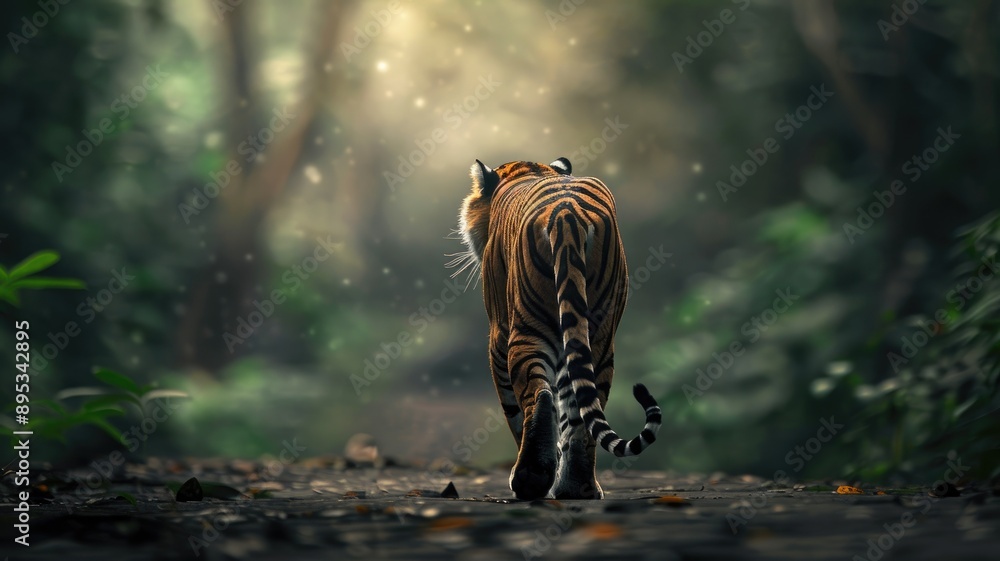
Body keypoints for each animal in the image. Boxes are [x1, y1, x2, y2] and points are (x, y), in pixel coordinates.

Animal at [450, 156, 661, 500]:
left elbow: (514, 409)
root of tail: (567, 214)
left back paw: (530, 478)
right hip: (598, 337)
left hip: (526, 329)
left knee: (539, 396)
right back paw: (579, 488)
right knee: (583, 405)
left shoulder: (498, 334)